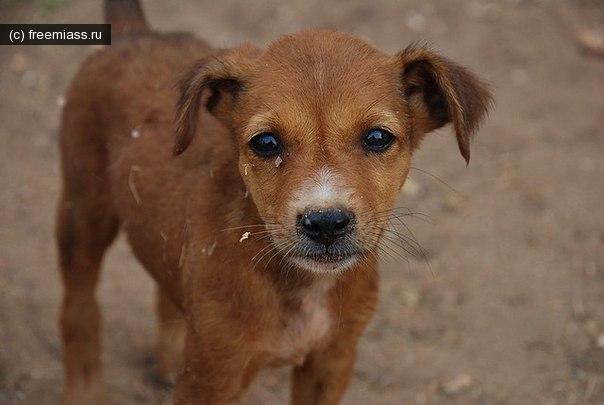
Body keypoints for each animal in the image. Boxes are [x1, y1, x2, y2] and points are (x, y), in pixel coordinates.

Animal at [56, 0, 490, 404]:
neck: (303, 286)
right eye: (265, 143)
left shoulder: (332, 359)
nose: (326, 223)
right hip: (82, 212)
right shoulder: (212, 376)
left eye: (378, 138)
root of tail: (136, 34)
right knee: (79, 310)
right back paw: (85, 388)